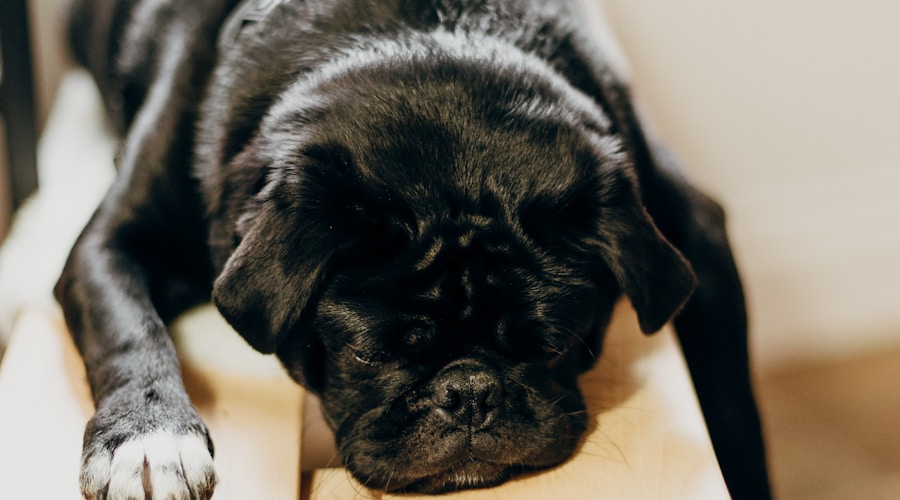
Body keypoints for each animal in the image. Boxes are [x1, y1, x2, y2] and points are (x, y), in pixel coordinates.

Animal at [59, 0, 768, 496]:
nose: (470, 392)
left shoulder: (696, 234)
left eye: (555, 346)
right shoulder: (107, 245)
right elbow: (130, 332)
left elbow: (735, 410)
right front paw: (149, 439)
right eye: (371, 355)